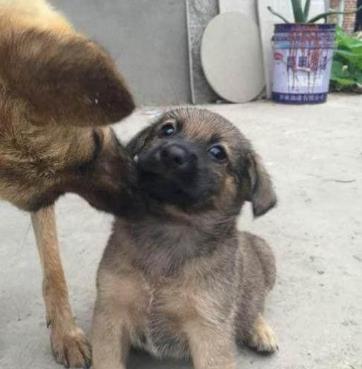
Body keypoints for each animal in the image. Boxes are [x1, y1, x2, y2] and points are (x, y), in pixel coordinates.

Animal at [92, 108, 278, 368]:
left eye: (218, 153)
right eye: (167, 129)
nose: (172, 154)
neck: (169, 226)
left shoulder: (208, 328)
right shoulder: (111, 311)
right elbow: (106, 360)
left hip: (267, 259)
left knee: (256, 307)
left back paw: (261, 331)